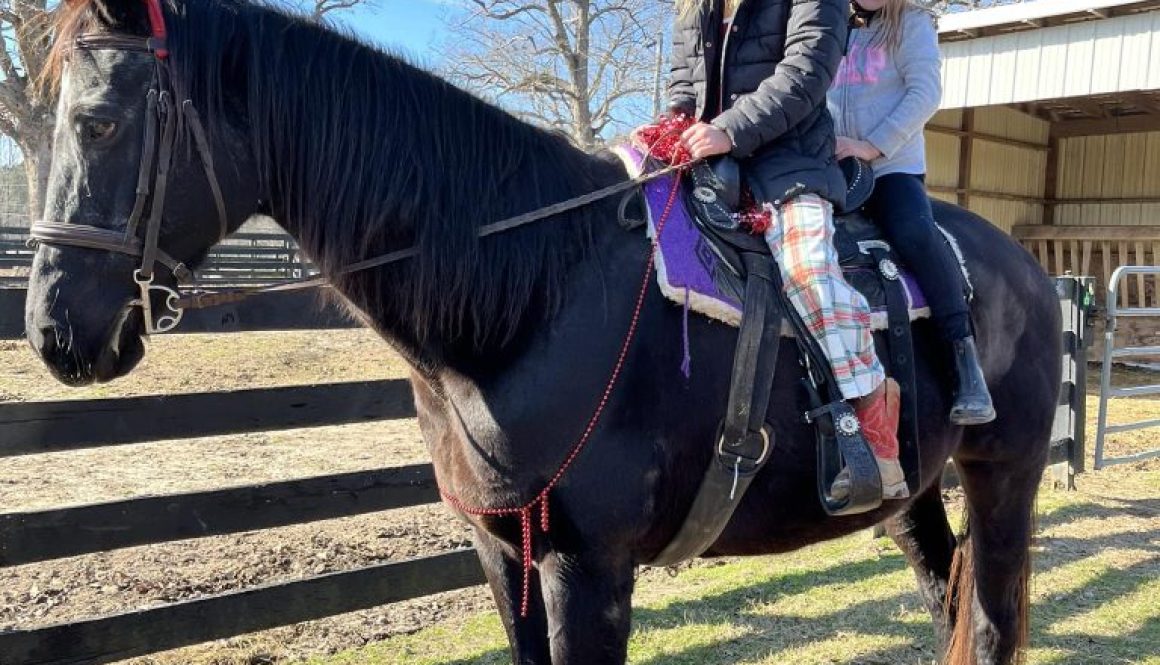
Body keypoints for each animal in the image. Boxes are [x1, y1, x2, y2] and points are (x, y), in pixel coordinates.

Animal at [24, 0, 1061, 663]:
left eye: (100, 121)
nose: (52, 331)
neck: (533, 299)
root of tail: (1028, 267)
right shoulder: (503, 555)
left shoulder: (588, 571)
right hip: (912, 489)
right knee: (946, 596)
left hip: (1004, 472)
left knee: (992, 619)